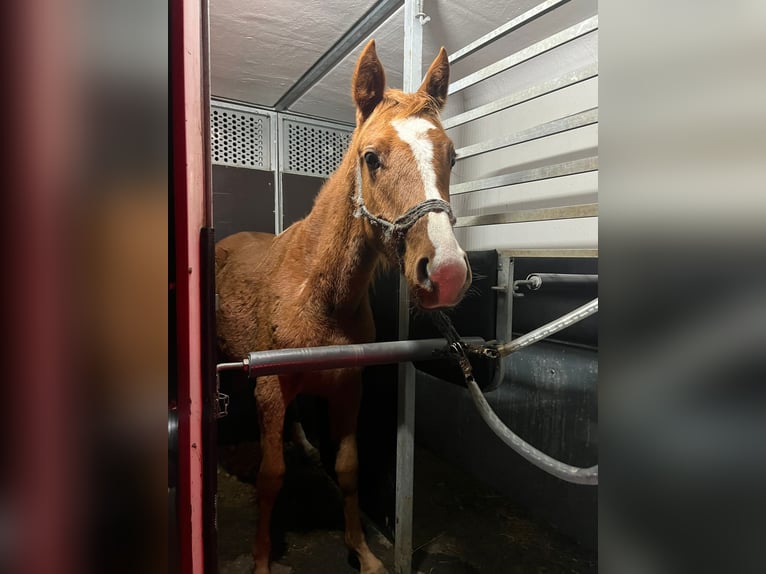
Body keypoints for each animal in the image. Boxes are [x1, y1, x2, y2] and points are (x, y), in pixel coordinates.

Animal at [215, 40, 471, 574]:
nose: (446, 273)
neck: (315, 293)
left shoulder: (349, 385)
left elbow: (349, 468)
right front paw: (262, 558)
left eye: (452, 157)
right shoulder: (269, 389)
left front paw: (364, 552)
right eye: (371, 158)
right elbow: (271, 475)